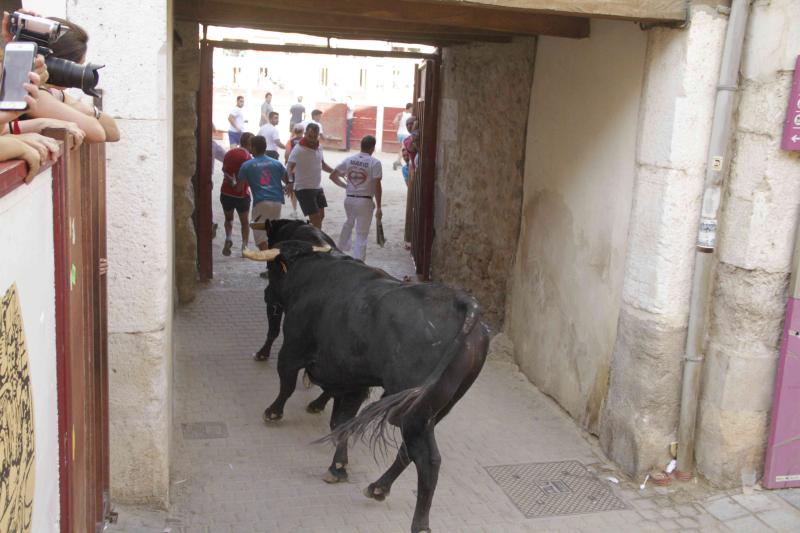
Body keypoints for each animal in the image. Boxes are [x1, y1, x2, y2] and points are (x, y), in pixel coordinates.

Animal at [250, 235, 488, 532]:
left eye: (272, 270)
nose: (266, 295)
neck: (310, 271)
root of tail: (463, 302)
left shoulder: (293, 349)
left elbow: (287, 385)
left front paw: (273, 412)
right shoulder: (352, 377)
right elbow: (341, 422)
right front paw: (338, 466)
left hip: (415, 414)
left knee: (428, 460)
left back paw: (419, 522)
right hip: (435, 410)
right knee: (409, 451)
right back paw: (378, 487)